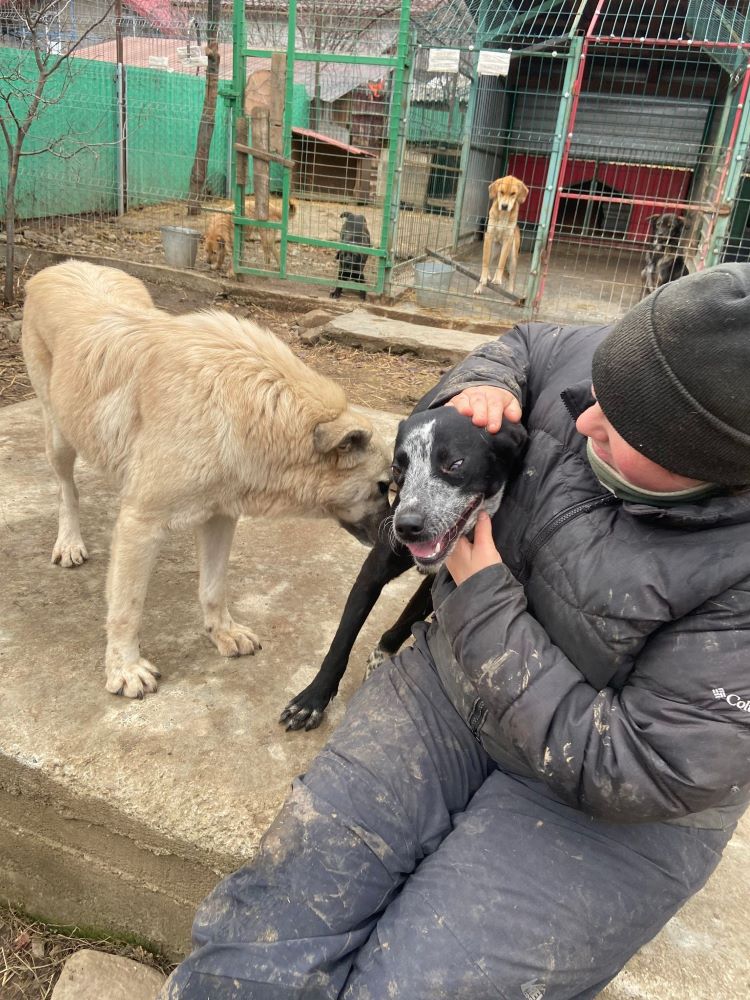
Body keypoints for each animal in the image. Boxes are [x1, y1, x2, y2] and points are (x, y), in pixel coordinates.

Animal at [21, 262, 390, 700]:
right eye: (385, 486)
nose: (397, 542)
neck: (239, 405)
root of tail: (59, 267)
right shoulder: (142, 523)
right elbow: (127, 606)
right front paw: (124, 668)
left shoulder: (219, 517)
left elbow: (213, 586)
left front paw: (222, 632)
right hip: (59, 436)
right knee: (67, 490)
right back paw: (69, 542)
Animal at [282, 402, 528, 732]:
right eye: (398, 470)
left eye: (455, 463)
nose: (406, 527)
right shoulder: (374, 572)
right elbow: (341, 641)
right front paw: (314, 698)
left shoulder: (443, 576)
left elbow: (408, 617)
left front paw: (381, 654)